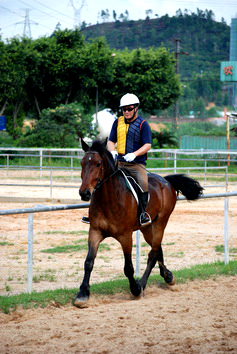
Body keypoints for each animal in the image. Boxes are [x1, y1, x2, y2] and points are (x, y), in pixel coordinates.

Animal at [74, 139, 204, 306]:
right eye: (82, 163)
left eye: (98, 164)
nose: (84, 193)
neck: (109, 198)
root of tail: (166, 181)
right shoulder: (95, 231)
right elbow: (88, 262)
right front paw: (82, 294)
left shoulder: (125, 236)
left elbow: (128, 267)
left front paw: (135, 289)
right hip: (147, 228)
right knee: (157, 248)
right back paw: (168, 276)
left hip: (160, 223)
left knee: (153, 254)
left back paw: (142, 284)